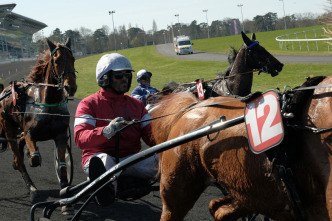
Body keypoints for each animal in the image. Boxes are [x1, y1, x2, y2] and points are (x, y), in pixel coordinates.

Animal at [0, 38, 76, 202]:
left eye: (73, 59)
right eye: (56, 60)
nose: (71, 87)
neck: (48, 102)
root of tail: (5, 91)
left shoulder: (61, 135)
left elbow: (62, 164)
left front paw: (65, 187)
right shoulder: (30, 133)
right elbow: (34, 158)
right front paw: (32, 157)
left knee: (21, 141)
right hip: (8, 128)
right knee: (18, 160)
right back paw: (32, 188)